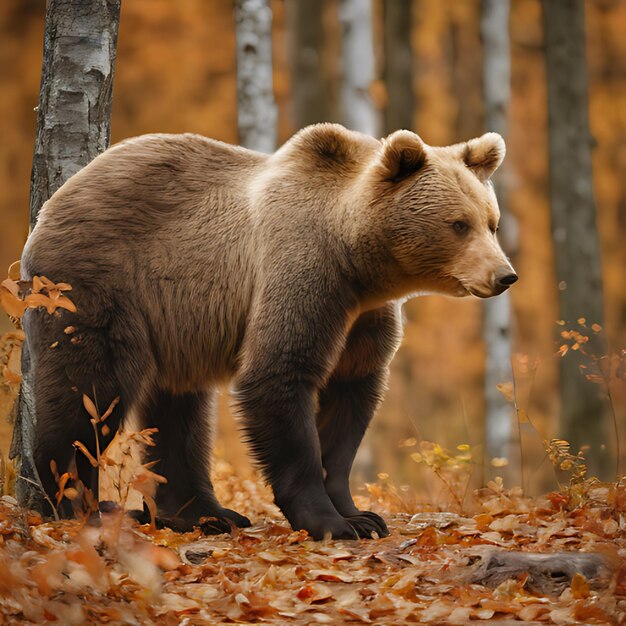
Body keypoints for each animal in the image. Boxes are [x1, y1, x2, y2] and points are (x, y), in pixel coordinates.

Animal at [20, 124, 516, 540]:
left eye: (491, 222)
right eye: (458, 224)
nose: (505, 275)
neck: (358, 263)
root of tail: (54, 202)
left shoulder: (364, 320)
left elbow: (350, 400)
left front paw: (361, 514)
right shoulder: (305, 274)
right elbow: (279, 375)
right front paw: (332, 522)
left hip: (178, 321)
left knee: (180, 408)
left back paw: (204, 514)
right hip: (95, 283)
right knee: (91, 389)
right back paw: (75, 502)